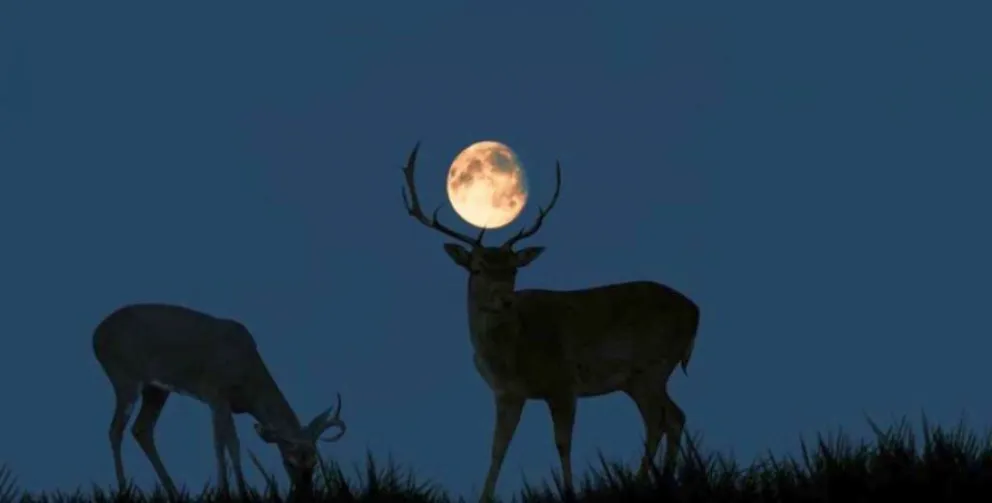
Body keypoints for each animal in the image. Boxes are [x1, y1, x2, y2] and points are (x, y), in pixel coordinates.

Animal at [92, 303, 346, 500]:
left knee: (141, 429)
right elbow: (228, 443)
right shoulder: (216, 394)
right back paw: (124, 490)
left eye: (314, 463)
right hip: (124, 377)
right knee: (115, 429)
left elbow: (223, 441)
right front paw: (235, 491)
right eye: (289, 462)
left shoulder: (221, 403)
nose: (305, 494)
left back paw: (173, 491)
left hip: (155, 389)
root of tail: (96, 336)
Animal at [400, 143, 701, 501]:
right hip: (639, 378)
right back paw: (660, 479)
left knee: (662, 418)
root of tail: (696, 312)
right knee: (671, 418)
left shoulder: (563, 382)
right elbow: (498, 448)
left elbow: (562, 443)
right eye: (477, 268)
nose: (506, 300)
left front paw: (569, 491)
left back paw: (646, 481)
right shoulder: (507, 393)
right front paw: (485, 497)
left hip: (652, 366)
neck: (512, 353)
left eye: (514, 269)